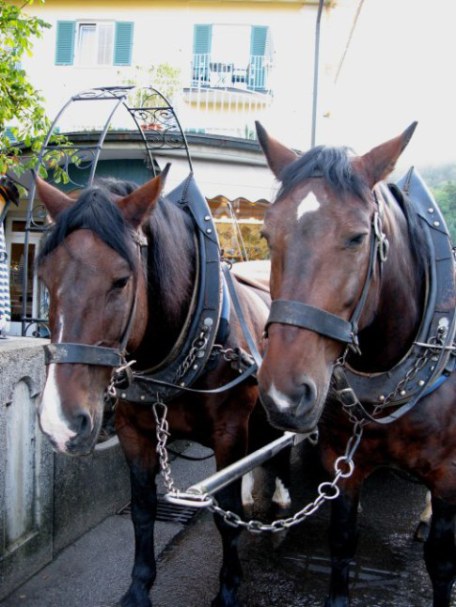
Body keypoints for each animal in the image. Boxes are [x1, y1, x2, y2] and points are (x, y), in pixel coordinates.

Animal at [34, 171, 288, 607]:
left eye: (121, 280)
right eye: (46, 278)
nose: (60, 422)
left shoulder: (229, 431)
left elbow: (225, 511)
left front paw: (228, 587)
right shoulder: (133, 432)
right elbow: (143, 508)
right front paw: (138, 587)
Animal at [256, 124, 456, 607]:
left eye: (357, 237)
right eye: (267, 235)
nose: (283, 396)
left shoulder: (449, 475)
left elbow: (442, 562)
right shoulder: (341, 460)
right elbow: (342, 543)